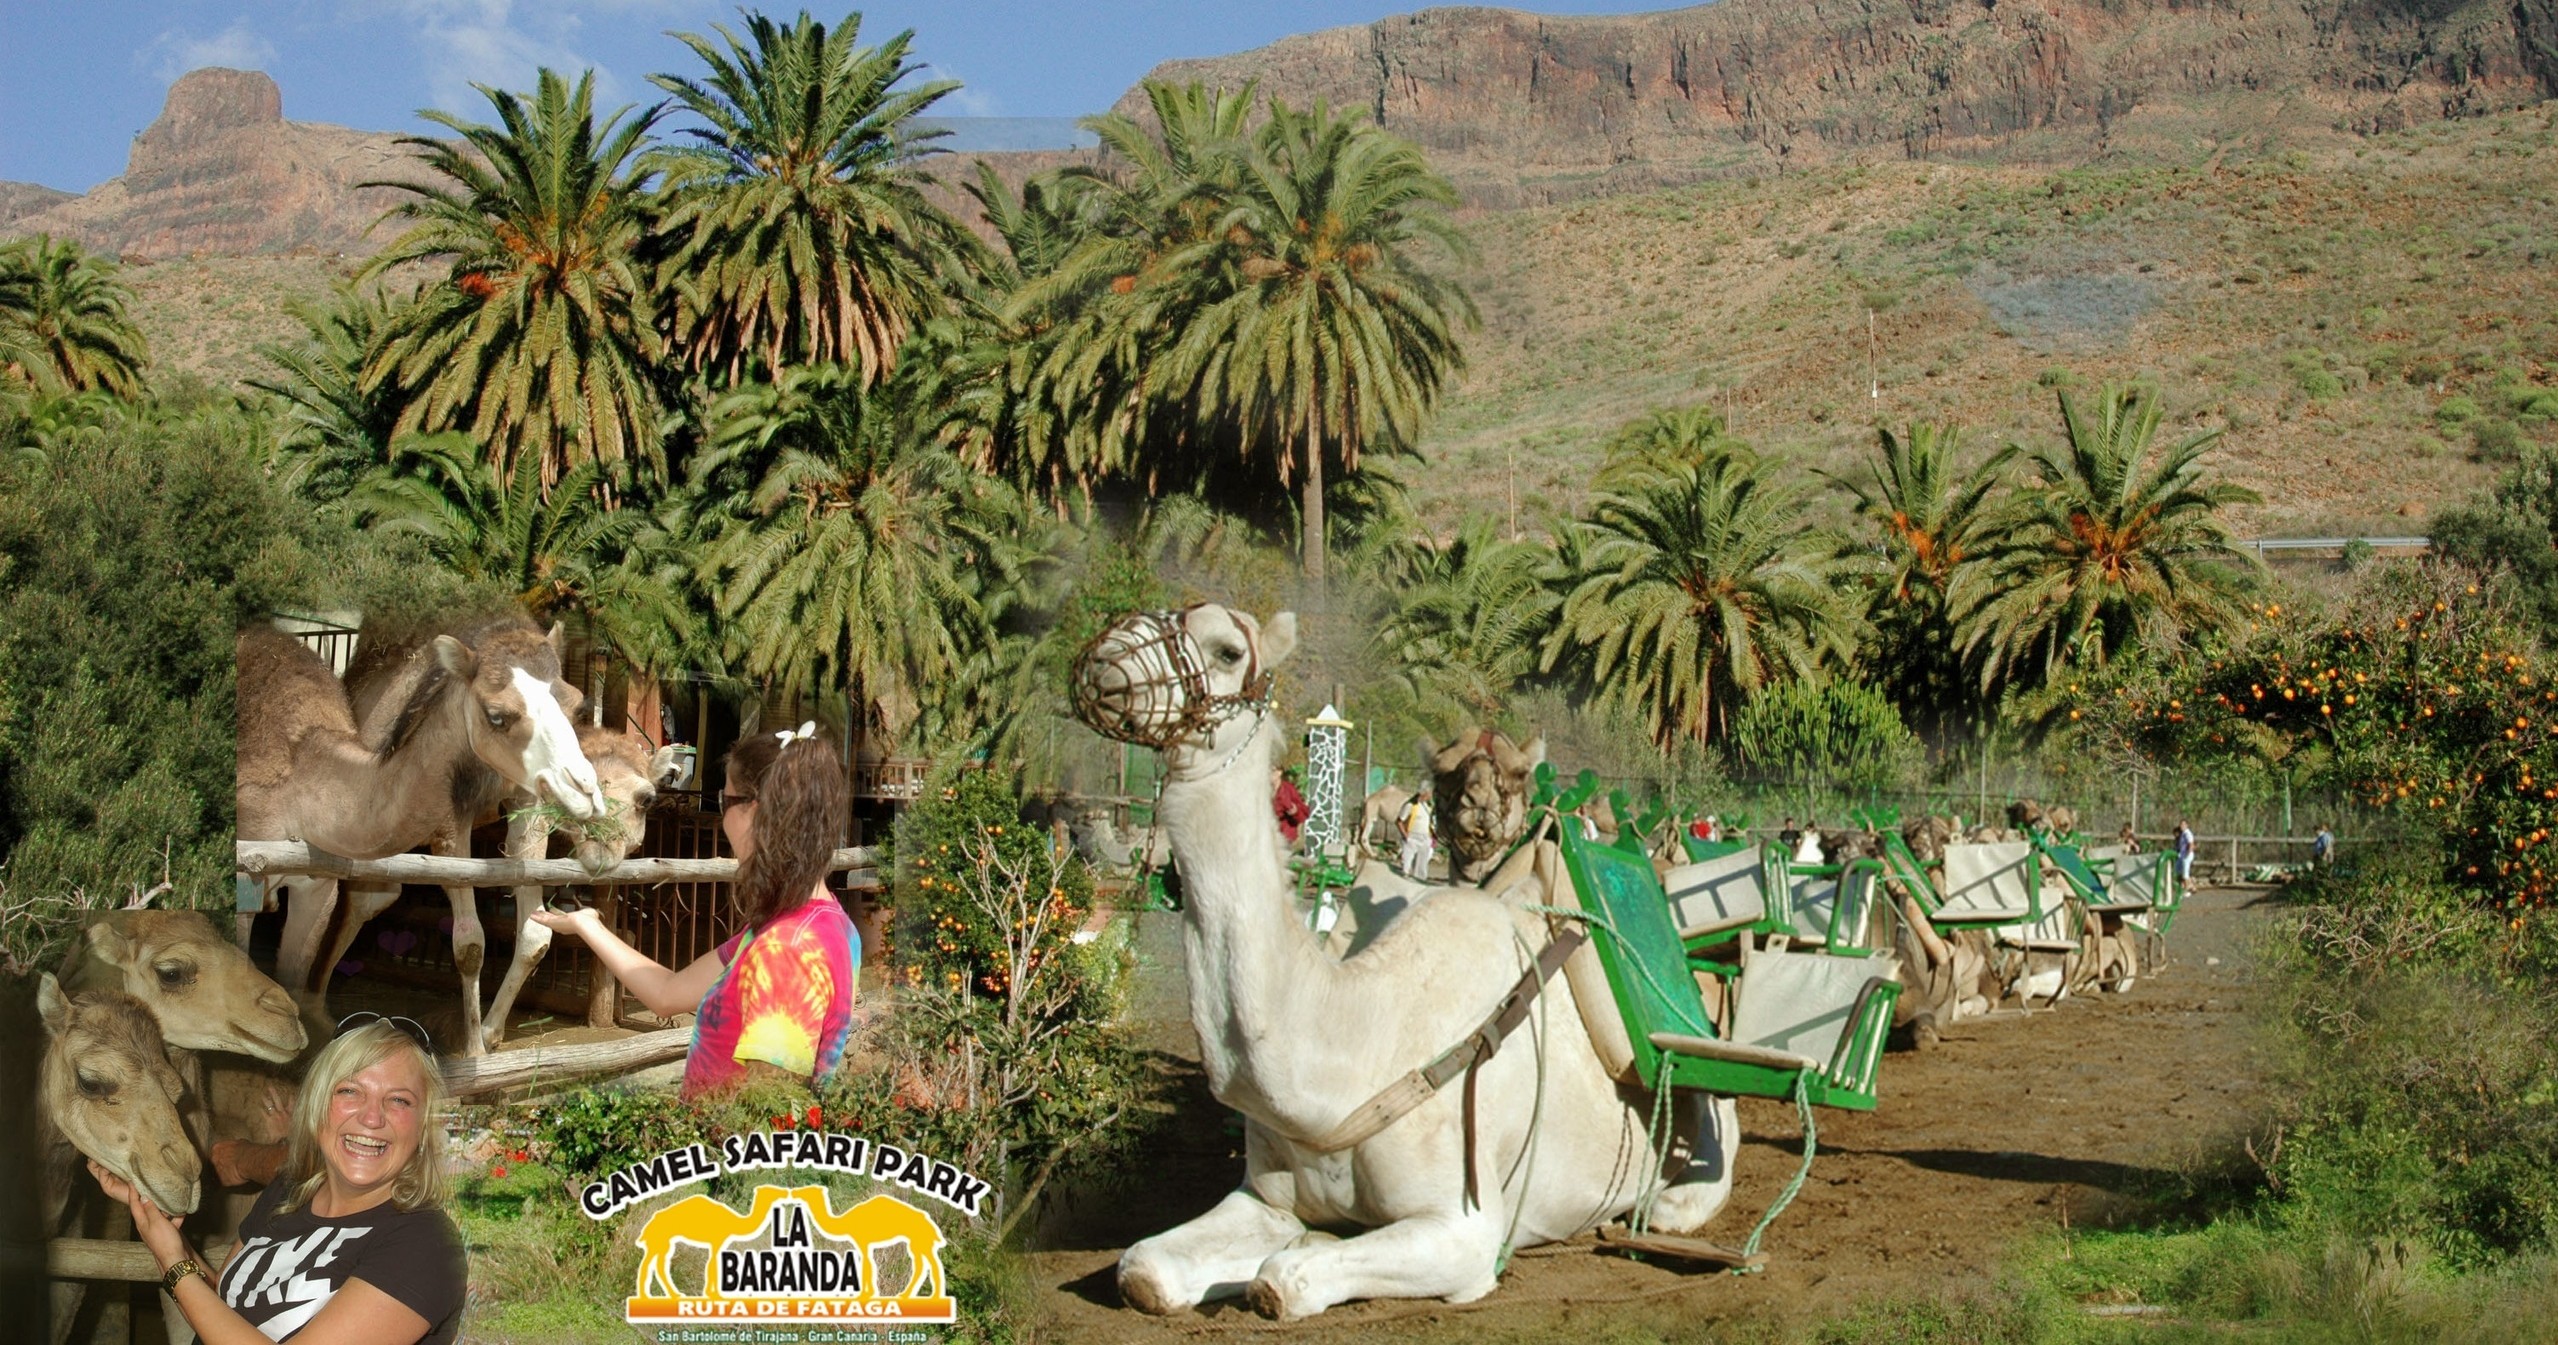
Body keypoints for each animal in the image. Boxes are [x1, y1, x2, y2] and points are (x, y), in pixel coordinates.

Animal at [237, 617, 605, 1052]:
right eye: (497, 715)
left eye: (577, 705)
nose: (584, 789)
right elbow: (470, 943)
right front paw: (473, 1050)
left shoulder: (317, 885)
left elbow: (535, 933)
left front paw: (488, 1036)